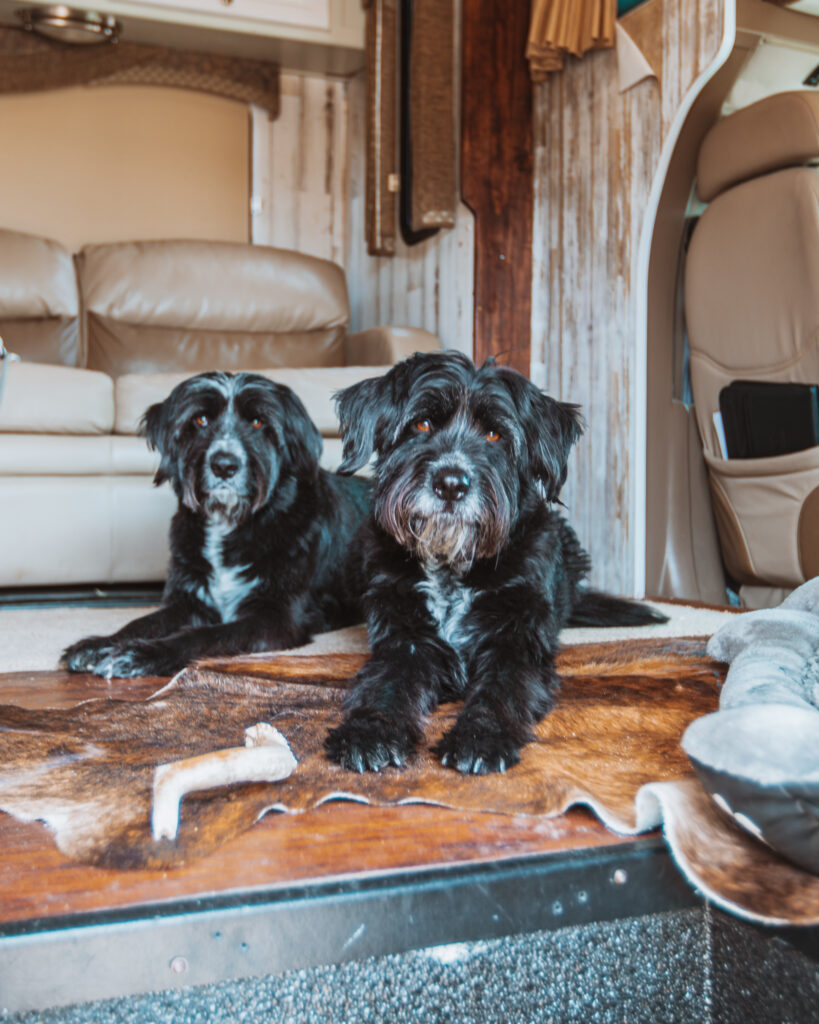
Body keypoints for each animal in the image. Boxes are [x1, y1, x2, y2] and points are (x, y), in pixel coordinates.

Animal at [62, 372, 368, 675]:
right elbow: (142, 622)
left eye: (257, 422)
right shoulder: (189, 600)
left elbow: (206, 635)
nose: (224, 465)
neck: (229, 521)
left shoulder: (277, 617)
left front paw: (142, 654)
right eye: (201, 420)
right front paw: (98, 644)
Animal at [325, 352, 663, 774]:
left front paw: (480, 737)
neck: (452, 565)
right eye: (422, 424)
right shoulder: (406, 641)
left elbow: (500, 692)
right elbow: (384, 687)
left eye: (494, 435)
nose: (451, 484)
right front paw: (369, 732)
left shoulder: (516, 643)